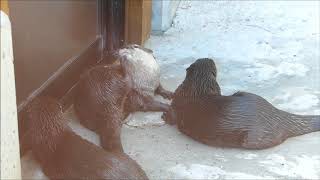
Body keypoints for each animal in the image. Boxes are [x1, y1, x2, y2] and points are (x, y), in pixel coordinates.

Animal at [164, 58, 318, 149]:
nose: (210, 58)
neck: (196, 90)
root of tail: (278, 116)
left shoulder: (177, 103)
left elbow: (172, 117)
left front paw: (164, 116)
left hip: (254, 138)